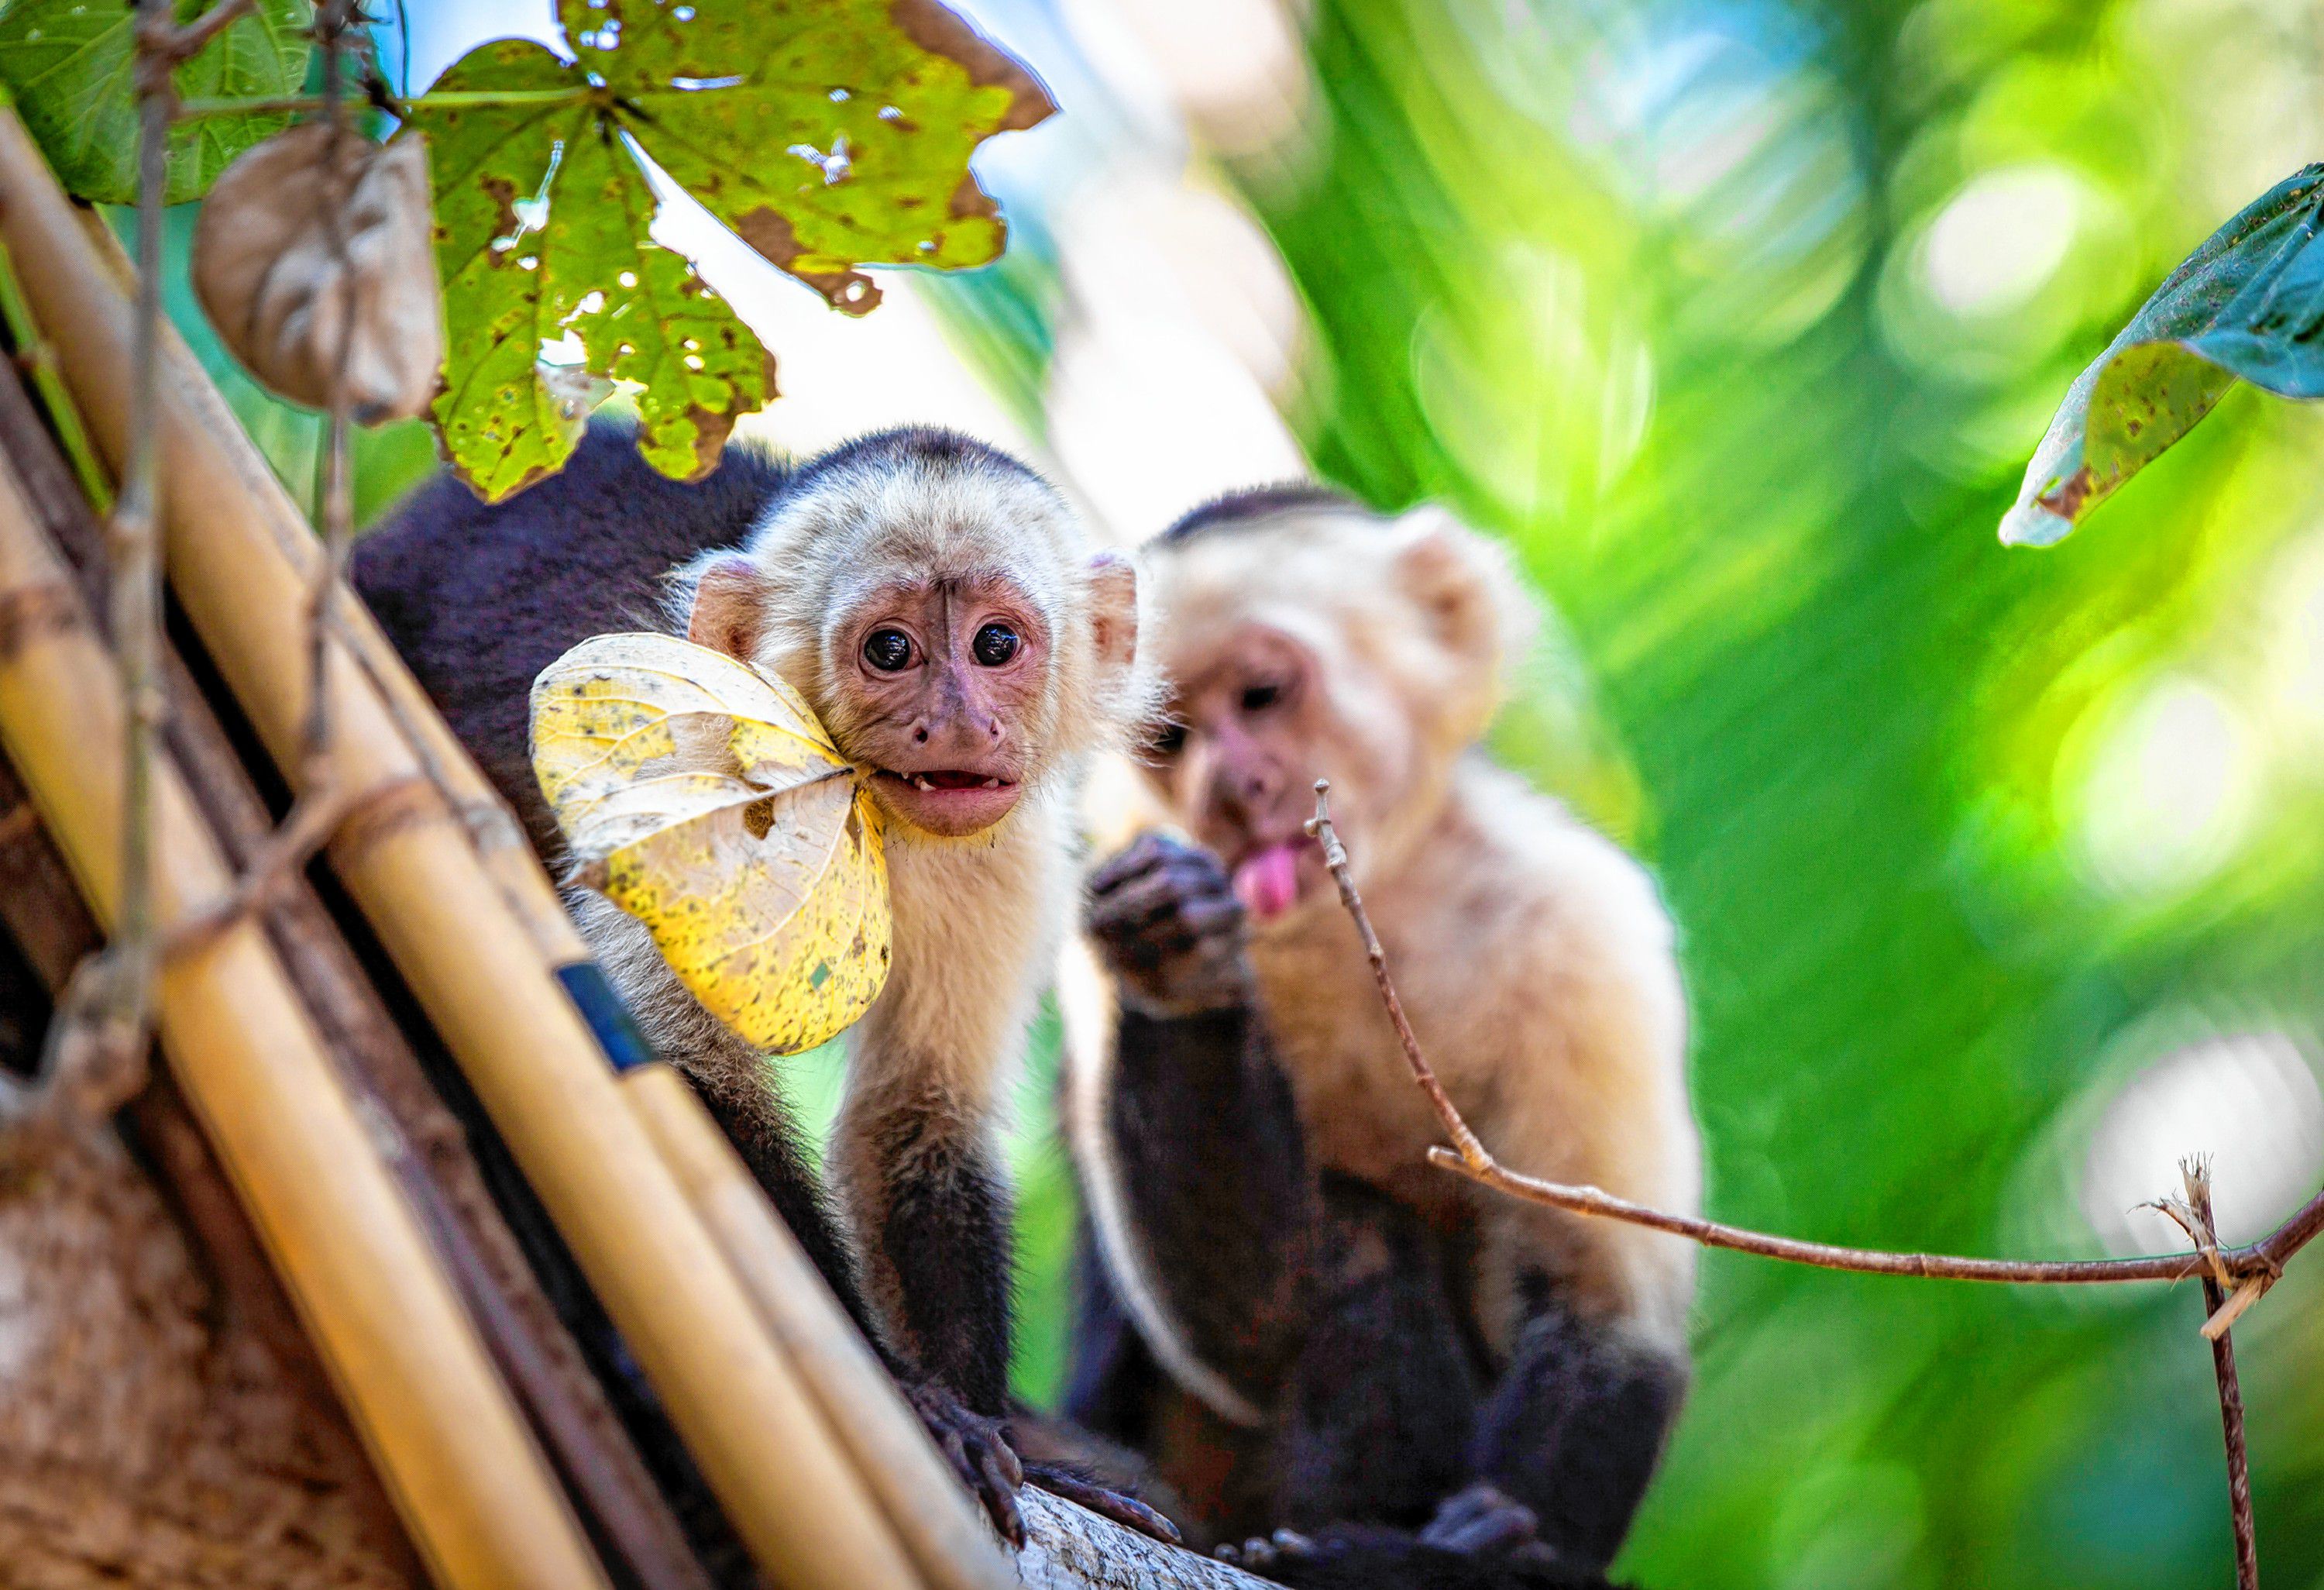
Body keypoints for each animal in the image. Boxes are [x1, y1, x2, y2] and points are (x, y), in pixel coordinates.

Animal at [356, 418, 1171, 1544]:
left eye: (996, 646)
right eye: (891, 650)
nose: (958, 727)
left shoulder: (1009, 862)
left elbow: (919, 1115)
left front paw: (993, 1424)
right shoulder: (687, 768)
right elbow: (666, 1063)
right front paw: (904, 1402)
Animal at [1064, 488, 1701, 1590]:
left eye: (1263, 696)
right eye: (1172, 738)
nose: (1232, 791)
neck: (1369, 903)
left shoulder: (1583, 922)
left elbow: (1605, 1308)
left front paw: (1508, 1559)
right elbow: (1249, 1327)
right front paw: (1173, 955)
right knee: (1357, 1238)